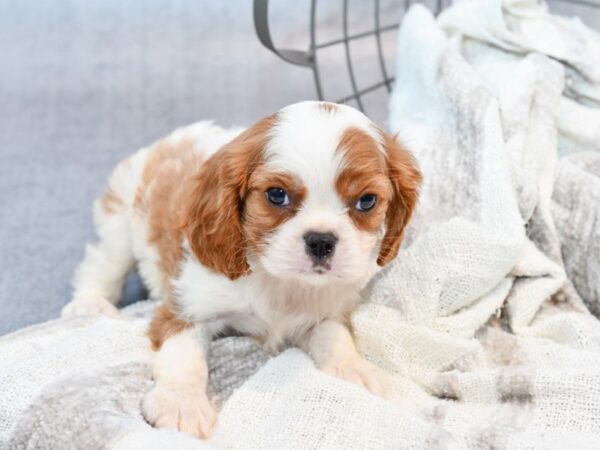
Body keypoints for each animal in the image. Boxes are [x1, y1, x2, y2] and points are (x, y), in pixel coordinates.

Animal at [62, 101, 422, 436]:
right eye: (277, 195)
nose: (321, 240)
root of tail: (169, 141)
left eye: (366, 201)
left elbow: (335, 336)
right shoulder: (184, 308)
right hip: (120, 222)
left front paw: (353, 369)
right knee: (102, 264)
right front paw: (181, 404)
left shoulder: (327, 309)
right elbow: (184, 358)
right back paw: (90, 303)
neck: (280, 281)